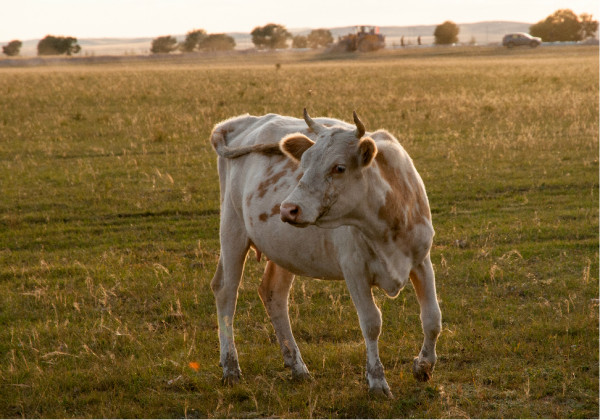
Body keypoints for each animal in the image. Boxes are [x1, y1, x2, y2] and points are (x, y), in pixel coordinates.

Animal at [210, 109, 440, 398]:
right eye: (304, 162)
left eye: (339, 167)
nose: (288, 209)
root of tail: (242, 121)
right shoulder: (354, 269)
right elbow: (371, 322)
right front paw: (377, 381)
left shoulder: (421, 260)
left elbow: (432, 318)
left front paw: (423, 366)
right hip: (232, 229)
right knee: (226, 291)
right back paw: (230, 367)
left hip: (284, 250)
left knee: (273, 293)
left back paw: (297, 367)